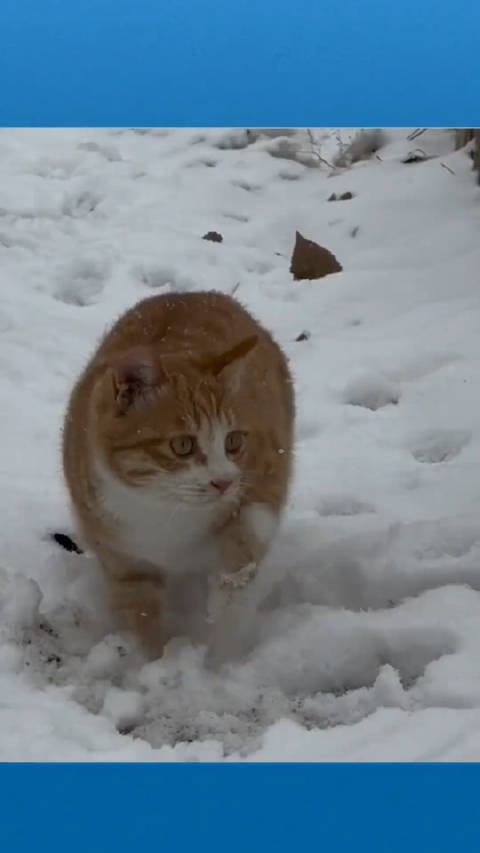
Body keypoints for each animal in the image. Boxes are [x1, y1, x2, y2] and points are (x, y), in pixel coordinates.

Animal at [62, 290, 294, 656]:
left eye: (233, 441)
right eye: (183, 445)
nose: (223, 482)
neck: (162, 510)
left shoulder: (267, 468)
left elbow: (250, 526)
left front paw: (225, 594)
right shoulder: (121, 558)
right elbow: (140, 612)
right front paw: (158, 660)